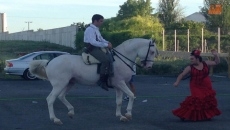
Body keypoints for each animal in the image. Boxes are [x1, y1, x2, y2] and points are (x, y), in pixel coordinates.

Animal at [28, 37, 158, 125]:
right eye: (152, 52)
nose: (149, 67)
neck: (121, 60)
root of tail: (49, 62)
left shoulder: (118, 86)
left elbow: (119, 102)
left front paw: (120, 116)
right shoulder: (121, 83)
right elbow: (131, 95)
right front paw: (128, 114)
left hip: (69, 83)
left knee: (61, 96)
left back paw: (71, 112)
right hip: (59, 84)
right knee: (50, 99)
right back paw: (55, 119)